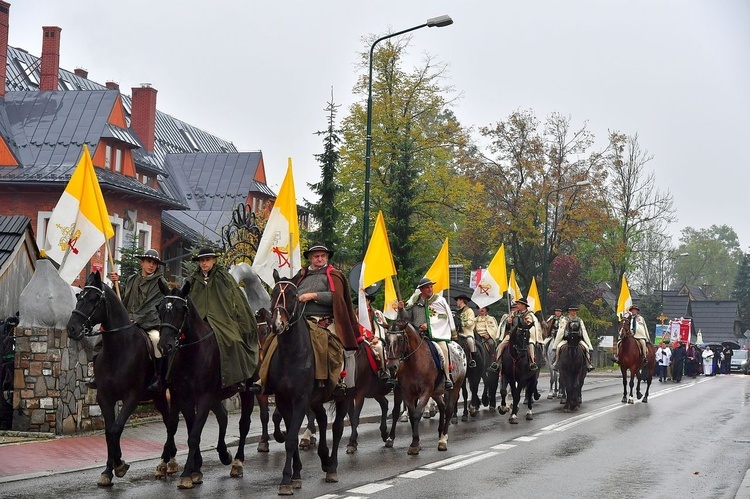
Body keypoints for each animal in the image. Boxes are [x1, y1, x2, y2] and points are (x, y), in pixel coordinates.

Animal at [66, 274, 179, 488]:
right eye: (79, 297)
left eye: (93, 299)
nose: (71, 328)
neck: (118, 350)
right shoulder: (105, 398)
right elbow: (109, 432)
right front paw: (108, 471)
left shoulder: (131, 398)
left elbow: (116, 429)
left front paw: (119, 465)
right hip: (159, 396)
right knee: (169, 420)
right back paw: (170, 459)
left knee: (172, 422)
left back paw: (167, 461)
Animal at [156, 284, 256, 490]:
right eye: (160, 309)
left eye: (181, 310)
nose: (164, 346)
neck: (192, 353)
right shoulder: (184, 396)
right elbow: (190, 429)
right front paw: (196, 469)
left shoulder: (203, 397)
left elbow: (194, 435)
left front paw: (187, 473)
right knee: (223, 417)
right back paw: (224, 453)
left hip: (246, 392)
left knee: (243, 425)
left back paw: (237, 462)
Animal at [264, 272, 350, 494]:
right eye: (273, 293)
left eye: (294, 295)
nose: (277, 324)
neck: (292, 355)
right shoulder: (284, 400)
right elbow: (291, 437)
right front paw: (295, 475)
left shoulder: (301, 400)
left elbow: (291, 439)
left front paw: (286, 480)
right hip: (317, 399)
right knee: (322, 419)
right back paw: (324, 459)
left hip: (345, 397)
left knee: (337, 428)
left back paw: (332, 468)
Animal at [384, 322, 468, 456]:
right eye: (386, 340)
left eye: (401, 339)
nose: (392, 366)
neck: (414, 362)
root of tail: (458, 347)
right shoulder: (408, 392)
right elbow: (411, 414)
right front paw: (414, 440)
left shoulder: (426, 391)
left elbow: (417, 414)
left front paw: (414, 444)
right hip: (436, 392)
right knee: (442, 406)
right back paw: (440, 433)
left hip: (455, 387)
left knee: (449, 409)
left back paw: (443, 439)